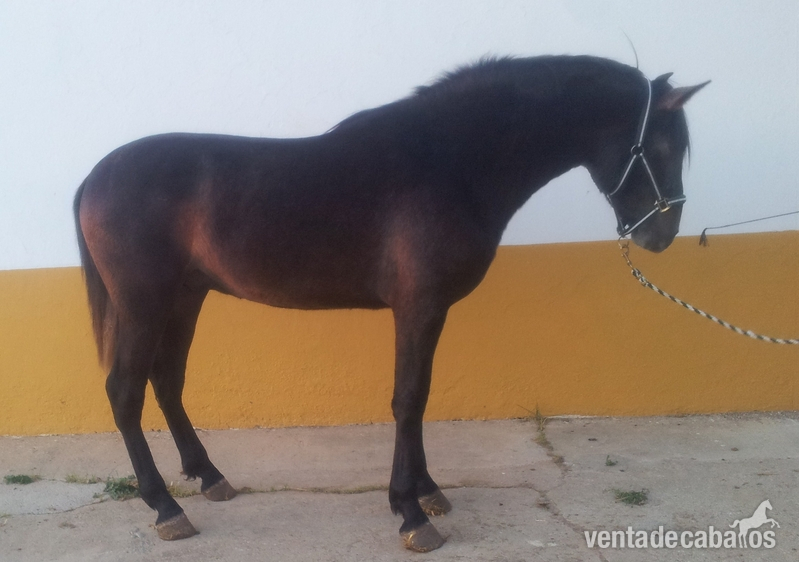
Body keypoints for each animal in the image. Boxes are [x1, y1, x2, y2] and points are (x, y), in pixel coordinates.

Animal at [73, 55, 708, 552]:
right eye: (662, 144)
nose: (663, 235)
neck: (449, 160)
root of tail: (96, 176)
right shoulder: (419, 307)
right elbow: (409, 398)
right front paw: (410, 512)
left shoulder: (430, 310)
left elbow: (419, 399)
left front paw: (428, 492)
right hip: (143, 302)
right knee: (125, 392)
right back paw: (166, 507)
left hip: (185, 296)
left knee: (167, 380)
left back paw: (208, 477)